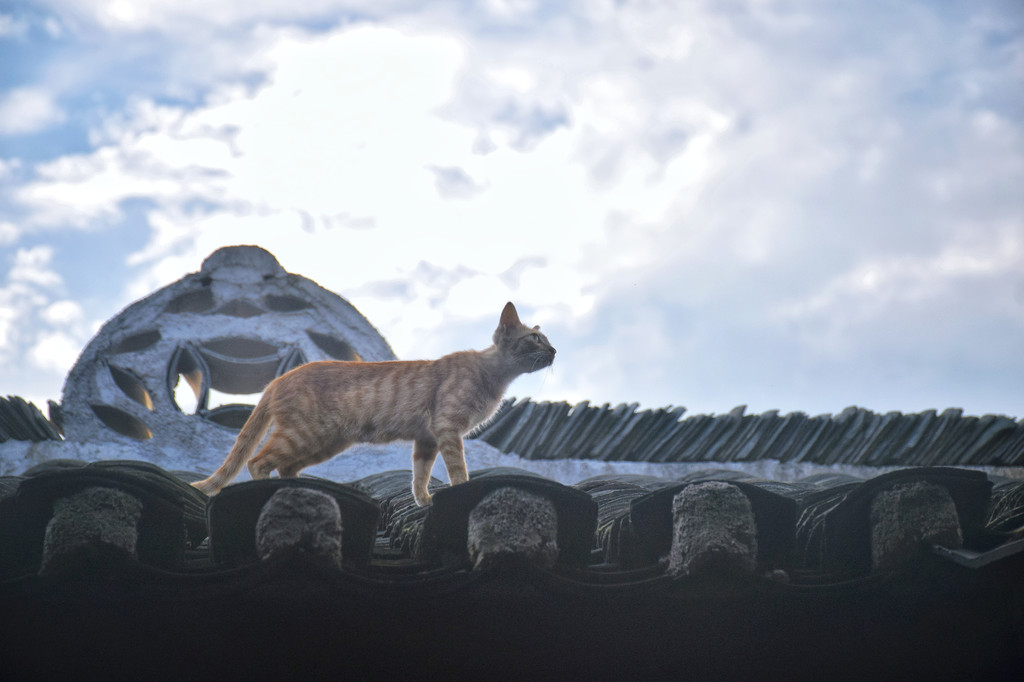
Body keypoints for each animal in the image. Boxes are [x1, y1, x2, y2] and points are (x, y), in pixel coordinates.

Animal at [194, 303, 557, 503]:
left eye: (547, 339)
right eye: (535, 339)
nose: (554, 351)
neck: (492, 375)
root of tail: (277, 379)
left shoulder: (427, 439)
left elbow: (420, 474)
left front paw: (424, 501)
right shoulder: (448, 429)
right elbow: (458, 469)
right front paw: (460, 489)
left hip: (324, 443)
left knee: (284, 467)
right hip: (302, 434)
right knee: (258, 462)